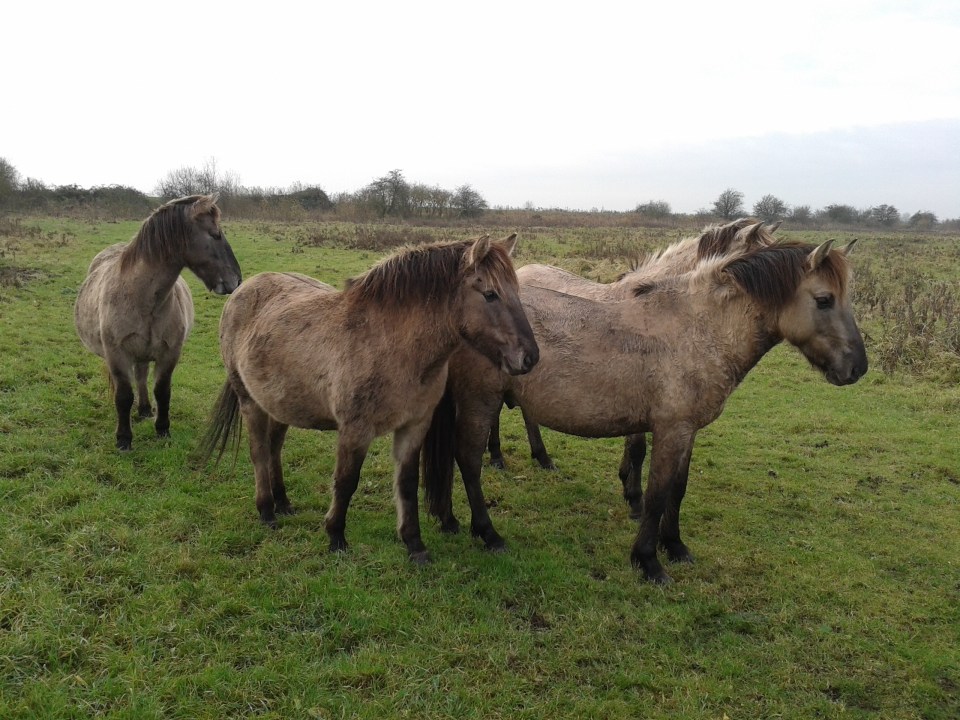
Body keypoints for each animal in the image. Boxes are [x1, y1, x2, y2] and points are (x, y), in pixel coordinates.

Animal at [74, 194, 241, 450]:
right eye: (215, 234)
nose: (237, 280)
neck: (142, 297)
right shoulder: (117, 354)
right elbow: (123, 396)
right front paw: (124, 439)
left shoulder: (169, 352)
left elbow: (162, 391)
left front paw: (162, 429)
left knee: (142, 375)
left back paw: (144, 409)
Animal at [200, 234, 539, 564]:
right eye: (490, 294)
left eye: (516, 292)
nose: (530, 357)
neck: (392, 346)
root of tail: (243, 289)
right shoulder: (355, 429)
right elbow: (346, 481)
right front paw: (336, 537)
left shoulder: (414, 425)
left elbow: (407, 483)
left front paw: (414, 544)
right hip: (250, 401)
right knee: (259, 452)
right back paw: (267, 511)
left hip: (282, 405)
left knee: (273, 449)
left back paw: (283, 503)